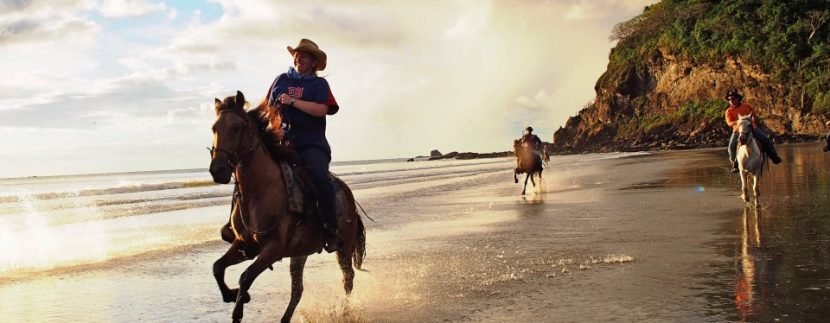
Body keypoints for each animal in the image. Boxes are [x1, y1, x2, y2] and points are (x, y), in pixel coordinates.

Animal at [210, 91, 366, 323]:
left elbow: (245, 277)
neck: (261, 191)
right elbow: (218, 267)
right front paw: (233, 295)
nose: (217, 170)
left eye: (237, 128)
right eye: (214, 128)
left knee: (348, 278)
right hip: (300, 253)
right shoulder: (244, 245)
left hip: (344, 248)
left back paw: (345, 311)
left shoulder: (273, 249)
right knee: (297, 289)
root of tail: (349, 197)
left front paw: (239, 304)